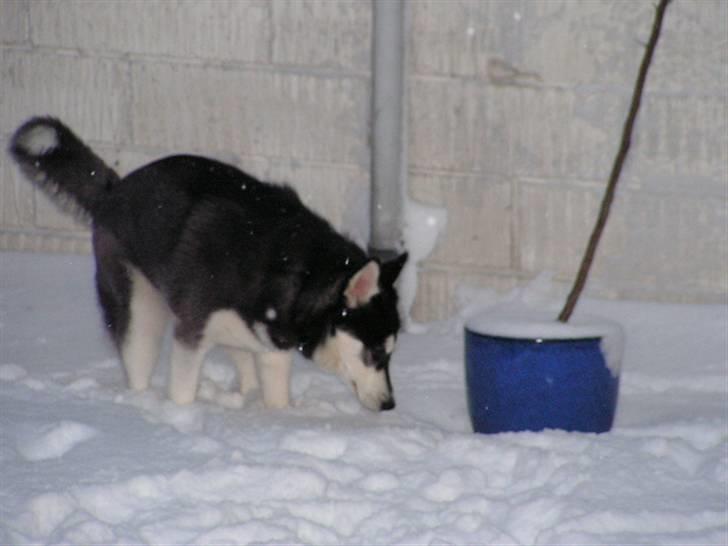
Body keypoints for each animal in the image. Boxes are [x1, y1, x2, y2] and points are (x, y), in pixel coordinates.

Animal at [11, 118, 406, 408]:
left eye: (391, 353)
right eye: (375, 352)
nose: (390, 404)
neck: (296, 269)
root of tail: (115, 189)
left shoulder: (271, 348)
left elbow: (276, 396)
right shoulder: (191, 335)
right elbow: (182, 393)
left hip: (234, 335)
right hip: (140, 315)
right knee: (138, 364)